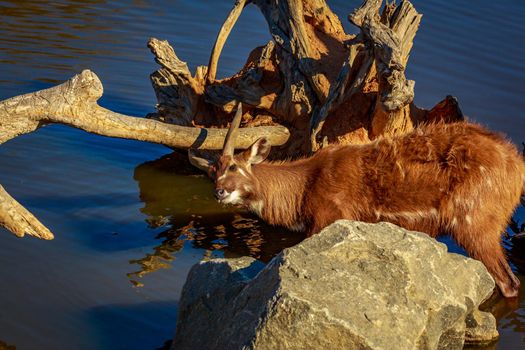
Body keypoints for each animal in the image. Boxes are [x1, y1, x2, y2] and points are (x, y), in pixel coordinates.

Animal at [189, 104, 524, 298]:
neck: (306, 185)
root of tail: (518, 166)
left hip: (475, 226)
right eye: (211, 173)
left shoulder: (328, 219)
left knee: (509, 283)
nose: (219, 192)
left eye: (234, 167)